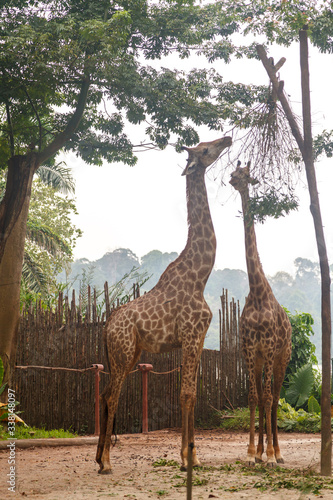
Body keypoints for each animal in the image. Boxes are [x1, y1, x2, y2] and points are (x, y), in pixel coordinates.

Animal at [96, 136, 231, 472]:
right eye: (206, 149)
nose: (227, 138)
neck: (200, 275)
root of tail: (107, 326)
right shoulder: (192, 335)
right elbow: (186, 394)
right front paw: (186, 459)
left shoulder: (196, 338)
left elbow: (192, 393)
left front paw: (192, 456)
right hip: (124, 352)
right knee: (112, 396)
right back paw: (107, 462)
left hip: (128, 354)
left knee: (104, 394)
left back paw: (98, 457)